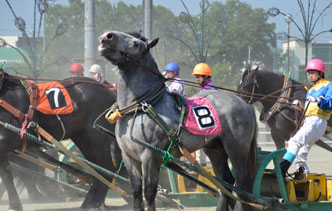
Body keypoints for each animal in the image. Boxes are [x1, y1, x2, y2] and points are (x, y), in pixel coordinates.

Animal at [97, 30, 258, 210]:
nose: (107, 36)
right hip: (215, 149)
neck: (140, 108)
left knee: (241, 184)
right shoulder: (129, 157)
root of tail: (244, 103)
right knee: (226, 182)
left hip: (236, 149)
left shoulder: (150, 157)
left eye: (136, 44)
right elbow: (137, 192)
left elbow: (149, 192)